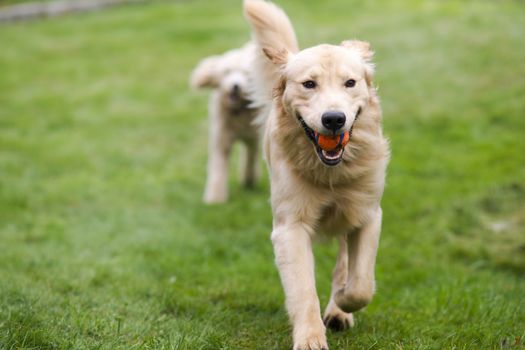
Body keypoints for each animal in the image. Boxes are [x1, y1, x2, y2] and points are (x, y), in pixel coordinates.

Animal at [190, 42, 260, 204]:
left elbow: (250, 158)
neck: (238, 111)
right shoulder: (221, 139)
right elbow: (218, 167)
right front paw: (215, 199)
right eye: (227, 72)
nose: (235, 86)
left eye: (245, 74)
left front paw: (248, 180)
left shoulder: (253, 138)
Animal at [244, 1, 386, 348]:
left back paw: (338, 309)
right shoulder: (290, 228)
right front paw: (310, 337)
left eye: (350, 83)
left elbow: (361, 284)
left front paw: (344, 301)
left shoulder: (368, 214)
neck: (331, 173)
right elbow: (303, 290)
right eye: (309, 84)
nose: (334, 119)